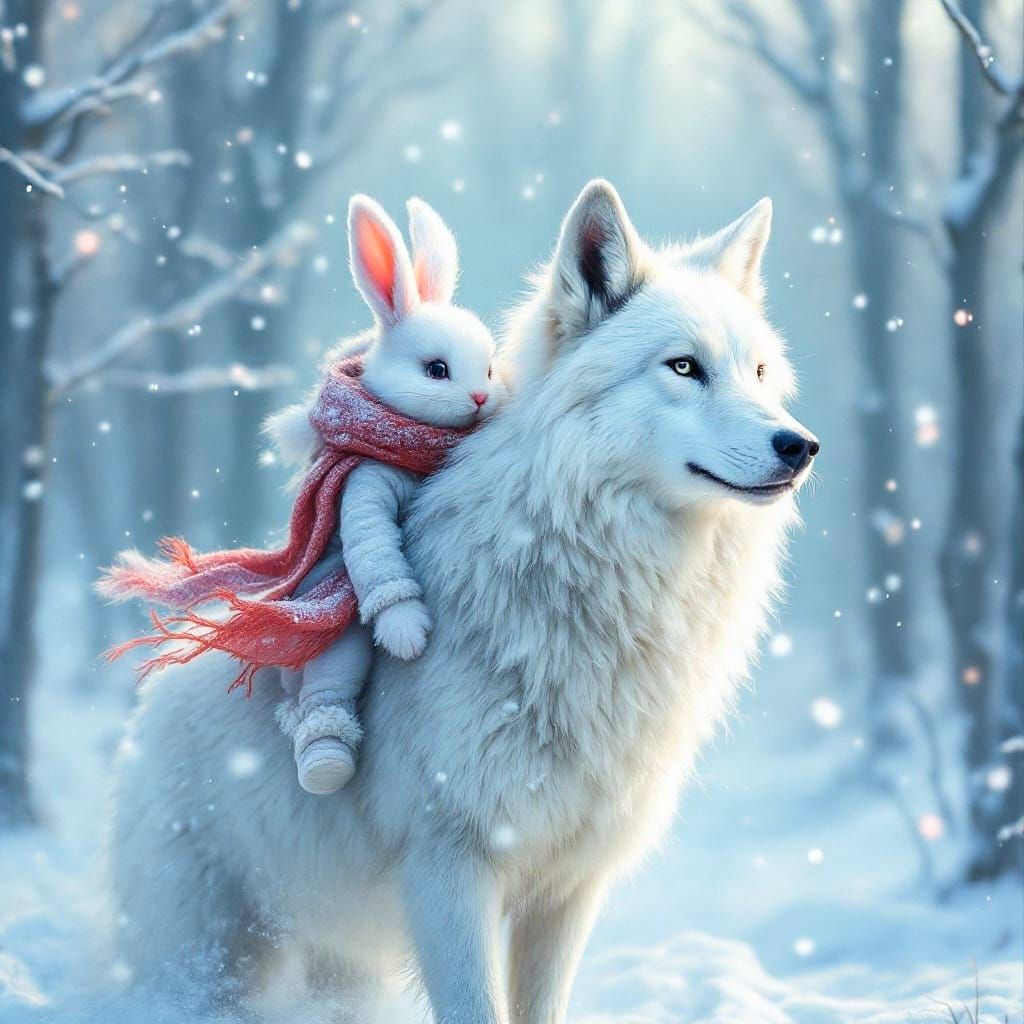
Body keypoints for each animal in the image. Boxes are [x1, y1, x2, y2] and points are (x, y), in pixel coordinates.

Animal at [110, 180, 818, 1023]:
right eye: (684, 367)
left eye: (760, 371)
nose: (801, 446)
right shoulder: (449, 863)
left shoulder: (568, 888)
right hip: (207, 960)